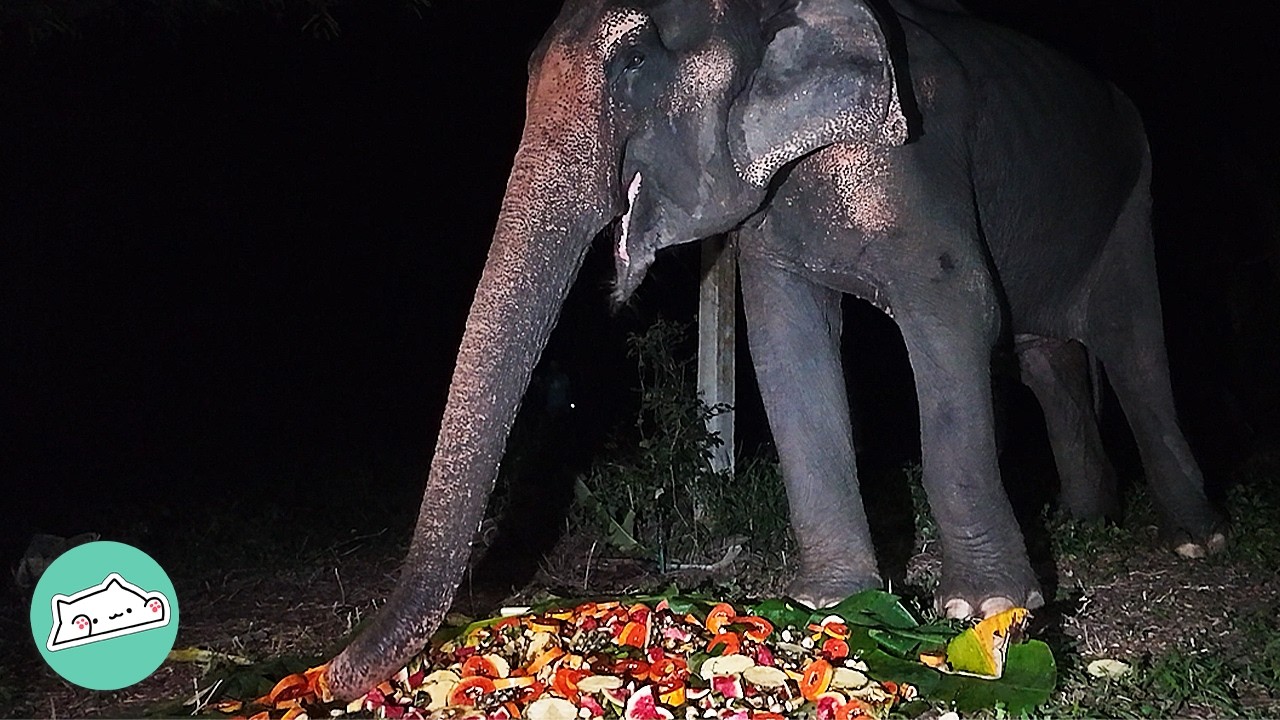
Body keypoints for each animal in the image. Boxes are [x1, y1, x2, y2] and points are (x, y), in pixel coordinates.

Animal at [327, 0, 1226, 699]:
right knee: (1047, 356)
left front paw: (985, 613)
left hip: (1131, 196)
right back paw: (1086, 517)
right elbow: (783, 339)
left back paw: (1196, 539)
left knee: (1133, 347)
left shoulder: (915, 161)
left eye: (633, 59)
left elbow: (955, 310)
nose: (330, 678)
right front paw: (832, 606)